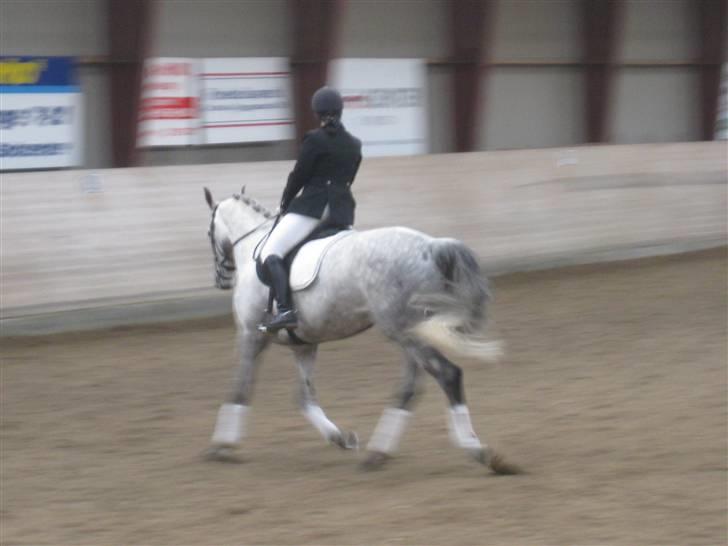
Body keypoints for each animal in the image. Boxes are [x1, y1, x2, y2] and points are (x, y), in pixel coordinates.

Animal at [202, 187, 516, 472]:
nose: (221, 278)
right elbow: (304, 396)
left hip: (402, 330)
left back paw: (478, 451)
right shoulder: (304, 345)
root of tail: (433, 246)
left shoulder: (250, 335)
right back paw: (378, 453)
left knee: (447, 374)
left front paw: (222, 446)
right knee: (410, 388)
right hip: (411, 332)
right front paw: (341, 438)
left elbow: (240, 389)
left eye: (209, 232)